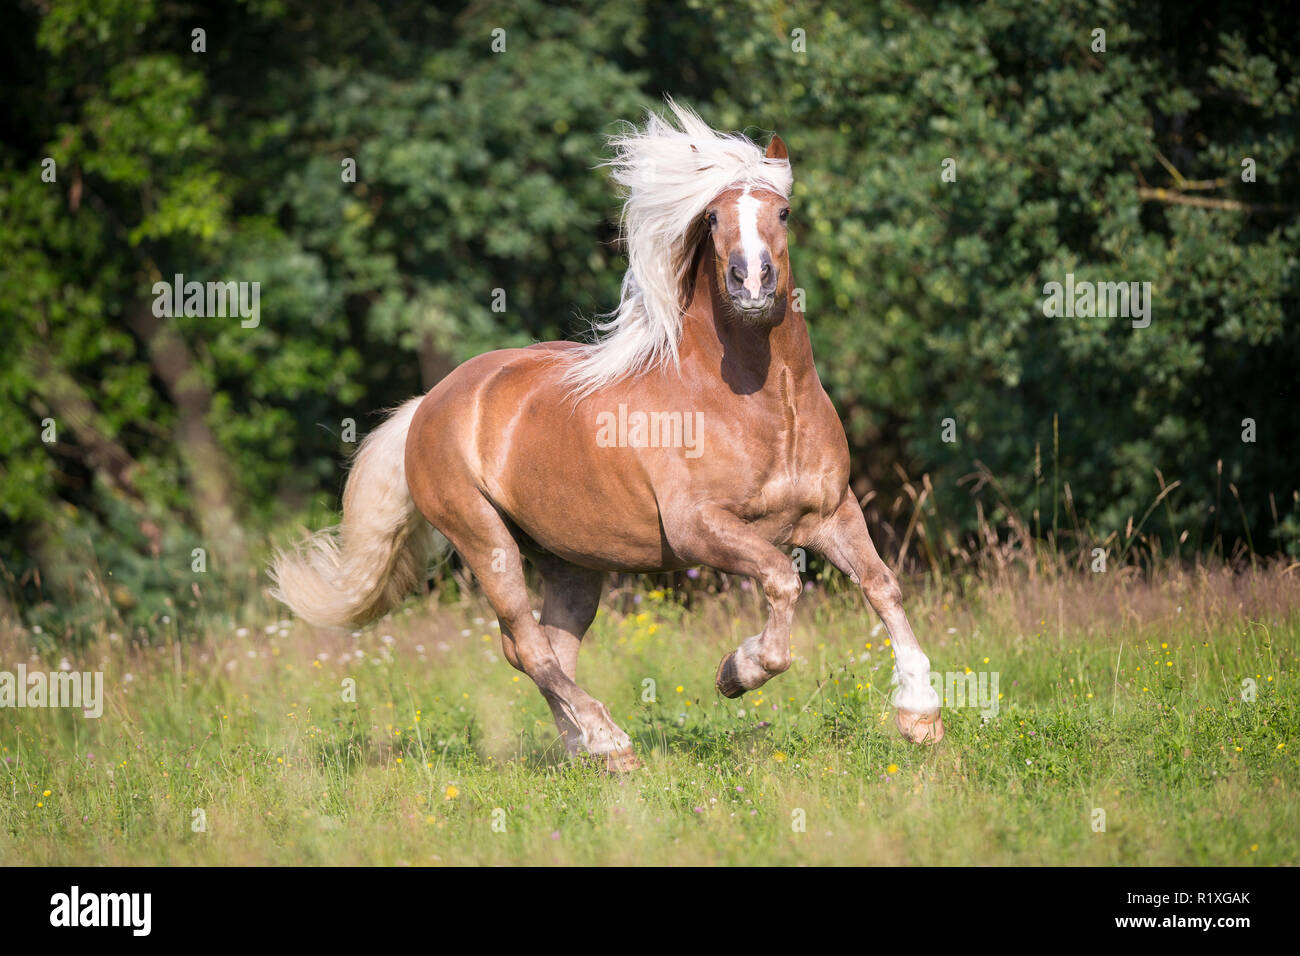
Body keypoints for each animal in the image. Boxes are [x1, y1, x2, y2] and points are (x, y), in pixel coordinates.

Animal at [269, 100, 944, 771]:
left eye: (783, 211)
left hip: (570, 559)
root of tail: (429, 404)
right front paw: (736, 672)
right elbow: (782, 581)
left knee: (547, 646)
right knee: (528, 645)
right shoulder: (700, 528)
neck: (765, 404)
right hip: (484, 539)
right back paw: (611, 741)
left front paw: (921, 715)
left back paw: (585, 749)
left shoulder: (833, 512)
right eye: (713, 216)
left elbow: (883, 586)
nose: (750, 285)